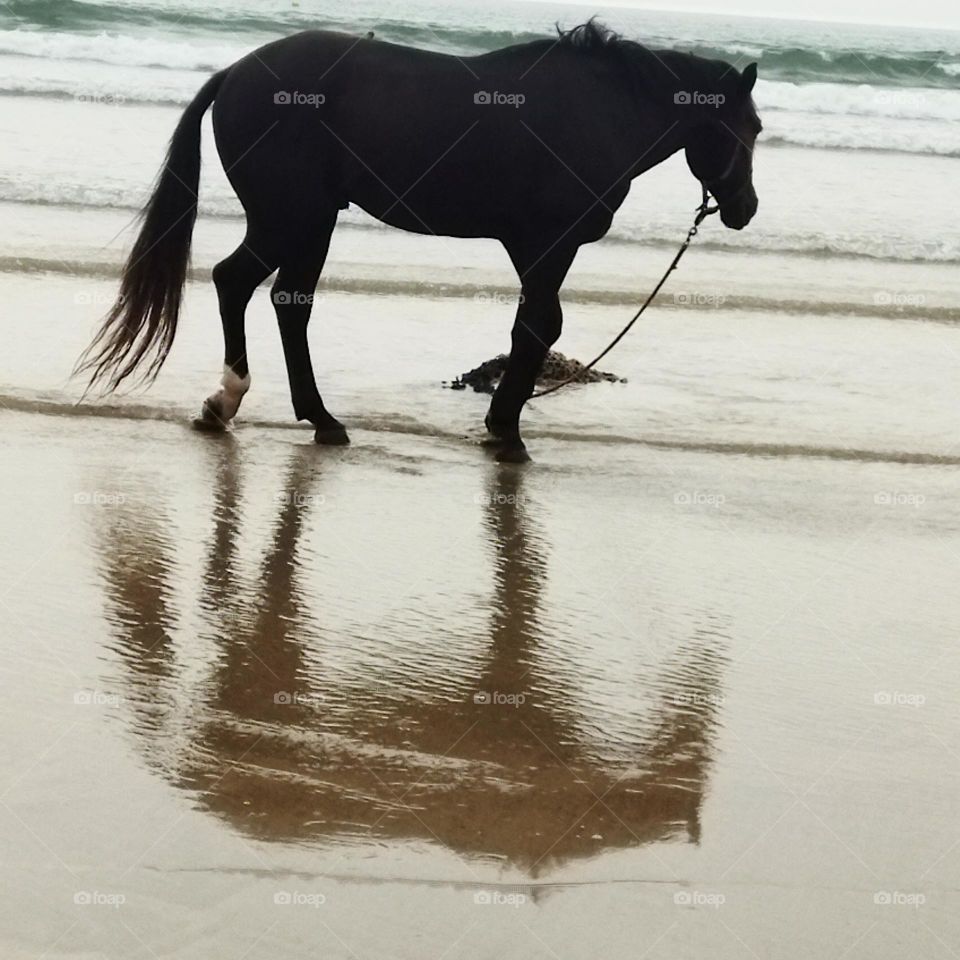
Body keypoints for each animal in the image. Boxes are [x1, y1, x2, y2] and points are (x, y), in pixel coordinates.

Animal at [80, 18, 756, 462]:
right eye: (745, 126)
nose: (744, 209)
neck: (599, 108)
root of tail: (235, 72)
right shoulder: (548, 245)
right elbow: (540, 326)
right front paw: (507, 432)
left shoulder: (535, 249)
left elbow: (534, 327)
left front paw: (501, 424)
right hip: (292, 218)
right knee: (243, 286)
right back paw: (253, 404)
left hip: (304, 223)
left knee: (275, 298)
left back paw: (293, 416)